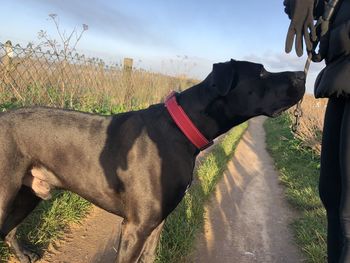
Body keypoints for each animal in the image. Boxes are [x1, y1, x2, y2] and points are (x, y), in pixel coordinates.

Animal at [0, 60, 304, 263]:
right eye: (261, 72)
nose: (302, 74)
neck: (181, 128)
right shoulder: (136, 227)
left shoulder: (156, 223)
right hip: (6, 194)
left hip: (29, 193)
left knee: (8, 230)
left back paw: (23, 254)